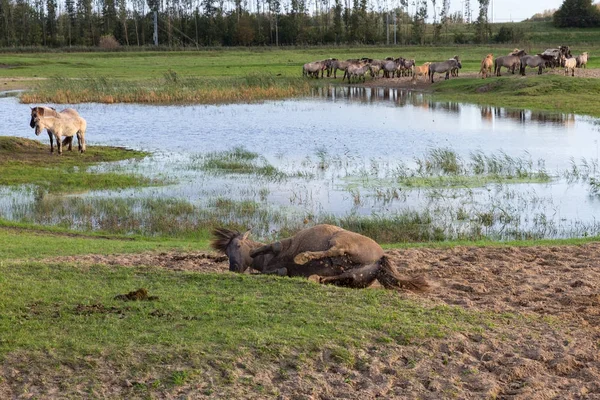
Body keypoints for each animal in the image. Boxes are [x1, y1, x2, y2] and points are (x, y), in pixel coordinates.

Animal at [209, 225, 428, 290]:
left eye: (238, 245)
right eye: (226, 253)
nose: (233, 269)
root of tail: (381, 256)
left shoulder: (288, 242)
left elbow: (276, 246)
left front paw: (255, 253)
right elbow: (281, 270)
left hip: (340, 239)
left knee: (335, 251)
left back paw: (304, 257)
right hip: (356, 276)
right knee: (339, 276)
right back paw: (315, 277)